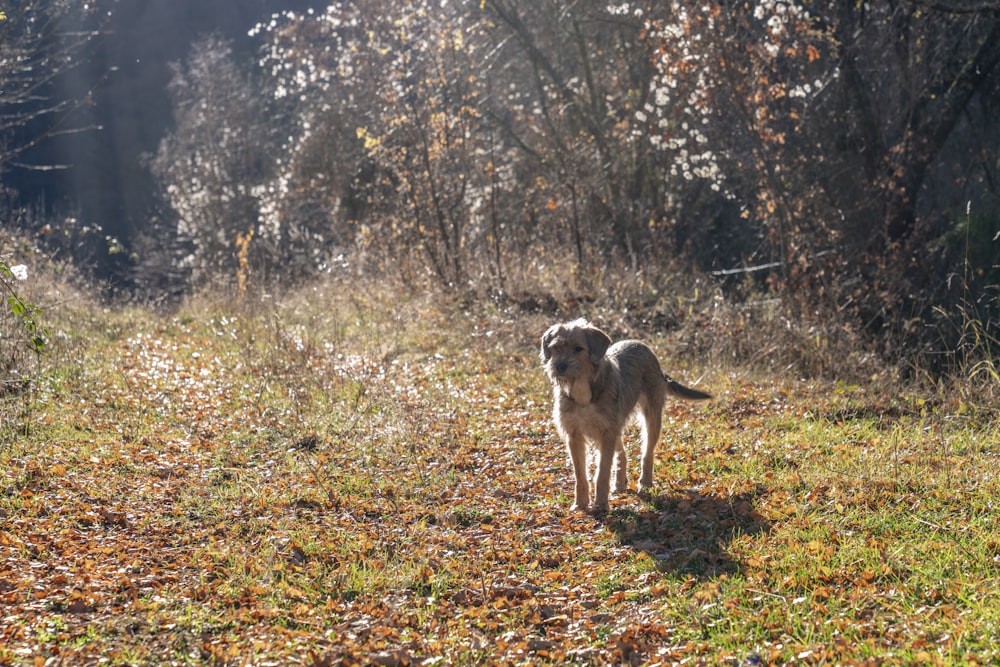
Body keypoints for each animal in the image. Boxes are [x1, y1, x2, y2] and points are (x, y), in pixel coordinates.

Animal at [540, 320, 712, 516]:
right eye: (555, 348)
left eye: (578, 348)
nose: (559, 366)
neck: (583, 391)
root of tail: (642, 345)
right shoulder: (575, 435)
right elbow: (580, 474)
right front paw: (580, 504)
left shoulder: (606, 433)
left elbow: (602, 472)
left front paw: (601, 505)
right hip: (617, 426)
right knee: (622, 453)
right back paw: (620, 483)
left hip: (651, 418)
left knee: (647, 453)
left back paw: (645, 483)